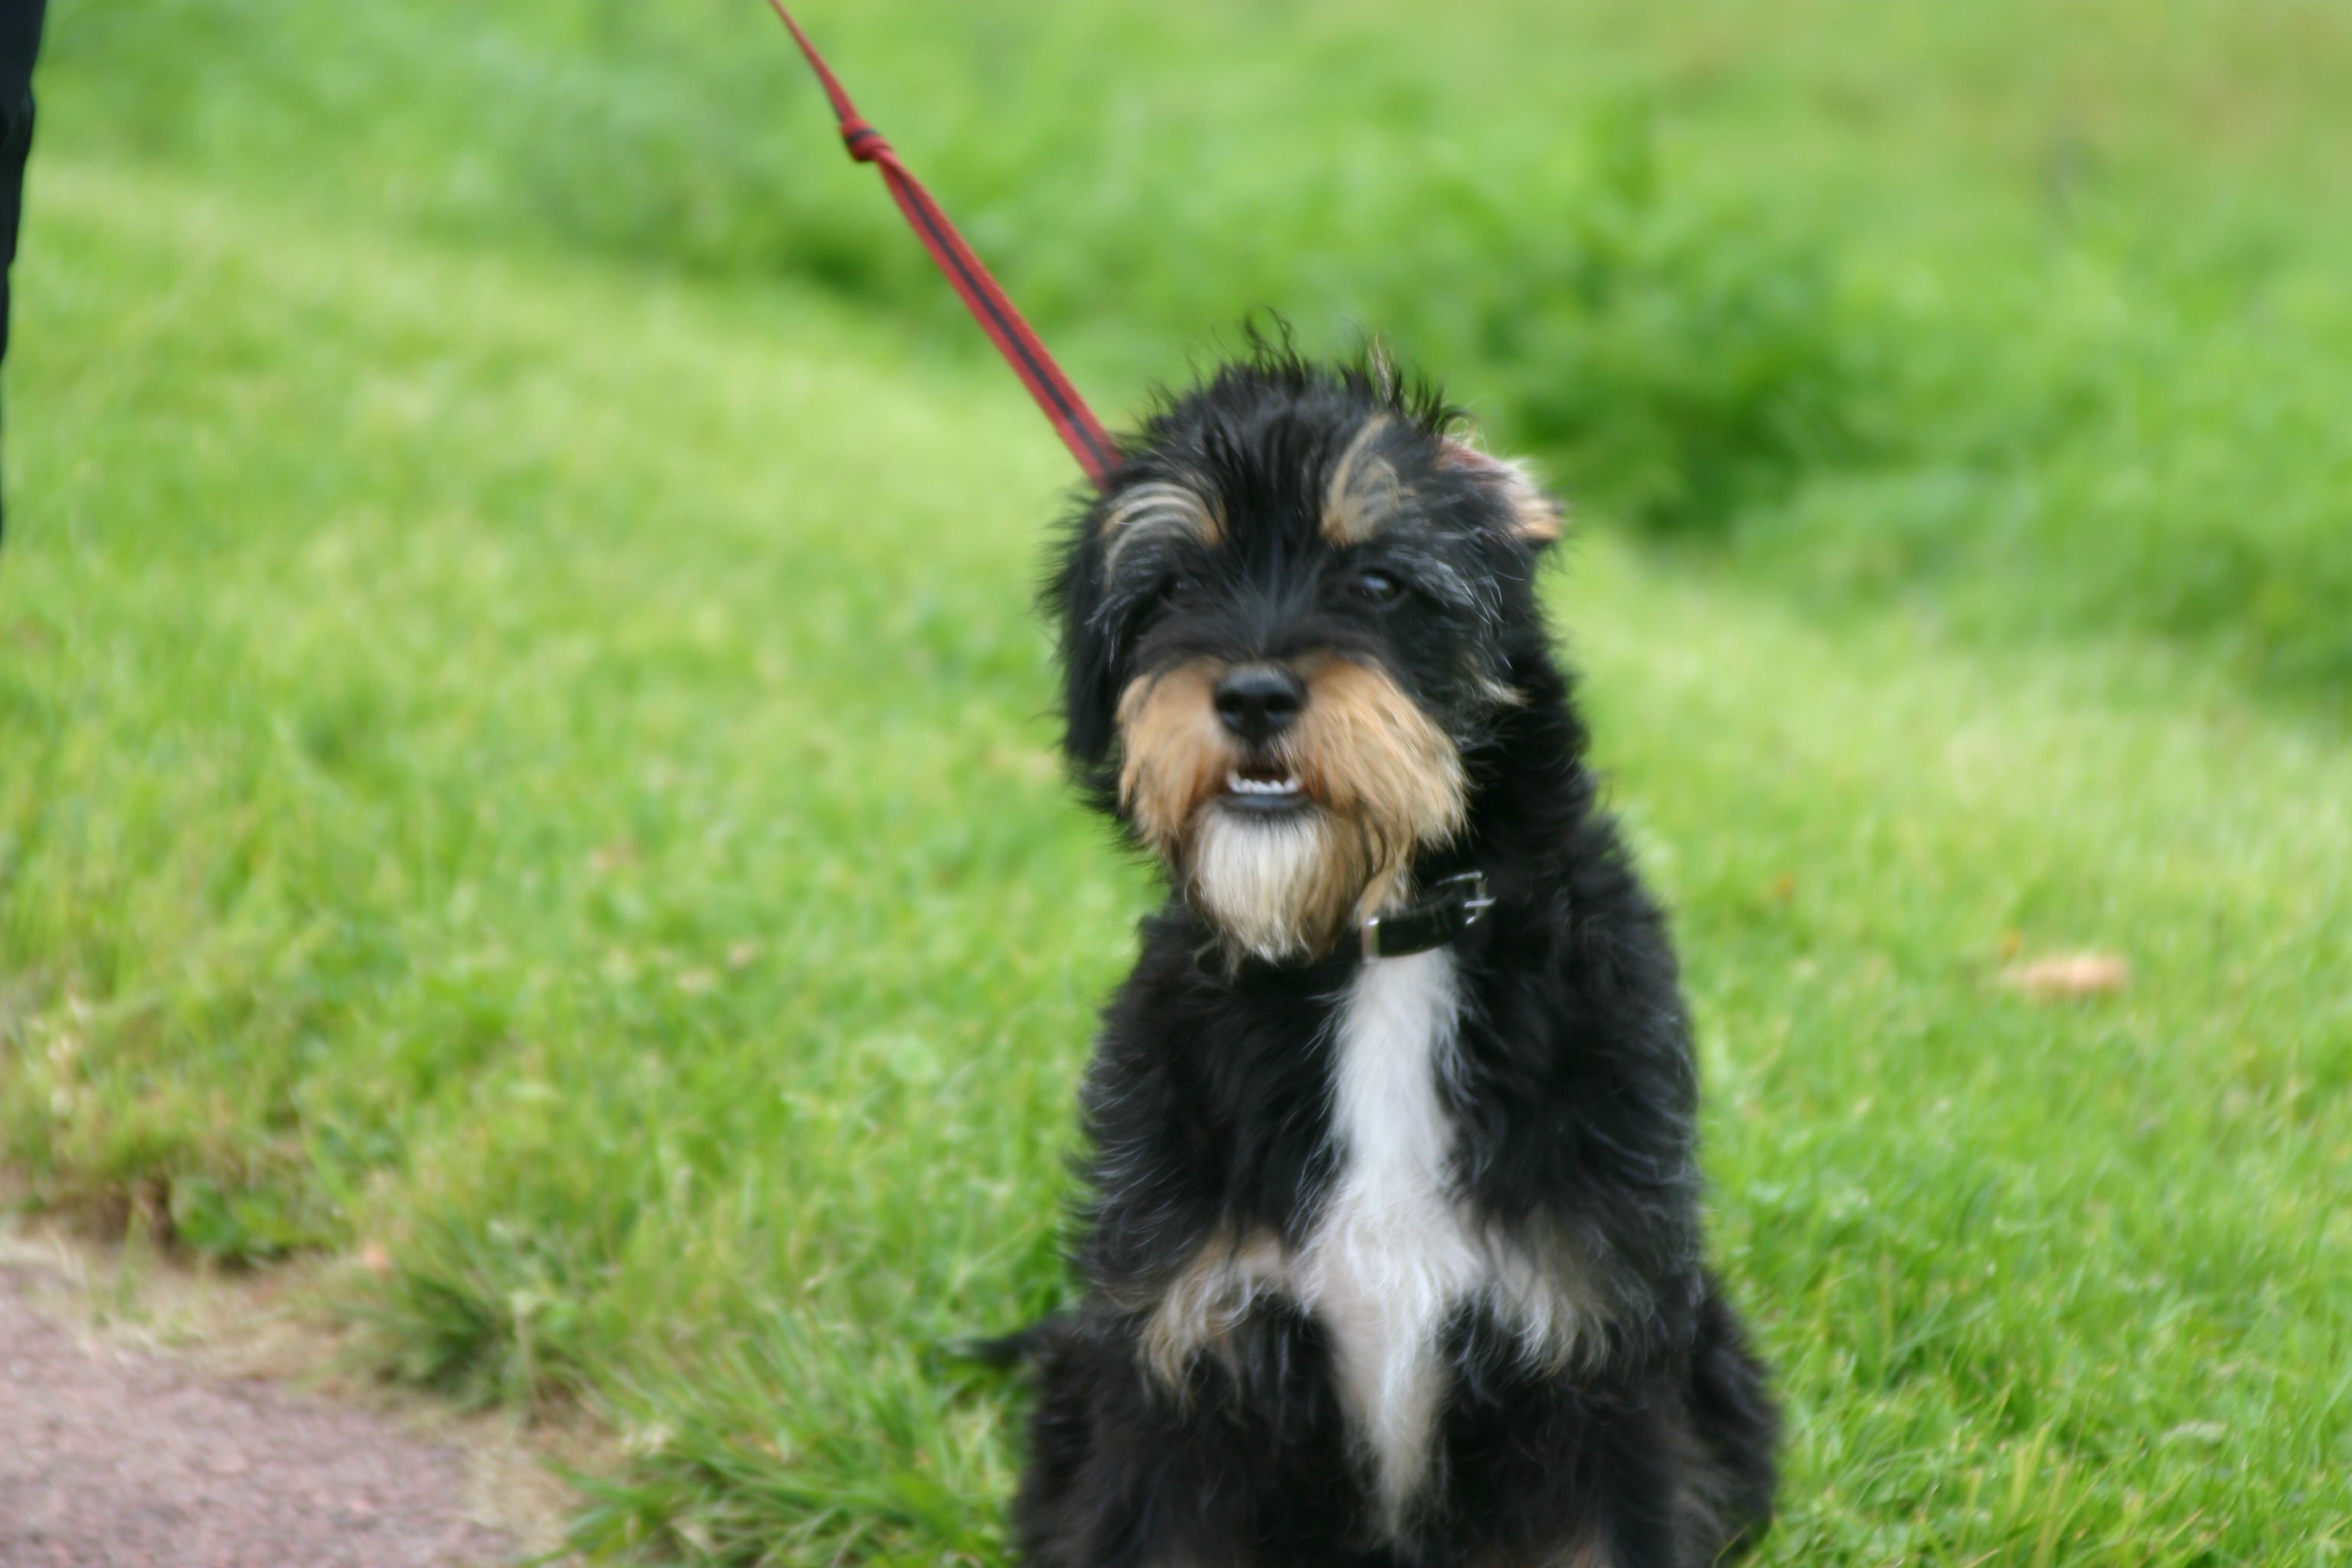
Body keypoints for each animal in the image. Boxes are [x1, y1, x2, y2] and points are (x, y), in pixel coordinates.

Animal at [1009, 344, 1779, 1568]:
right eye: (1172, 588)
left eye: (1378, 581)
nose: (1252, 694)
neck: (1377, 949)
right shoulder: (1182, 1364)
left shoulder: (1592, 1362)